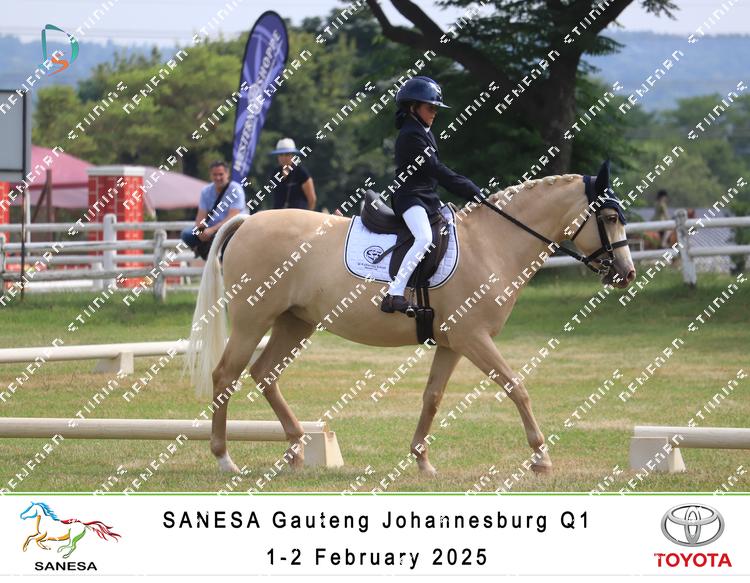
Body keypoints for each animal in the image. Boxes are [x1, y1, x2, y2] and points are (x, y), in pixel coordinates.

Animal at [185, 161, 636, 476]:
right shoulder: (474, 338)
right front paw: (541, 458)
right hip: (252, 320)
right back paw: (225, 459)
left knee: (265, 373)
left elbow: (432, 397)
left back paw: (295, 449)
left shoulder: (454, 343)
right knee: (225, 376)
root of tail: (247, 222)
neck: (492, 243)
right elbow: (516, 387)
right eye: (610, 218)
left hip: (296, 322)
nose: (627, 274)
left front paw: (422, 461)